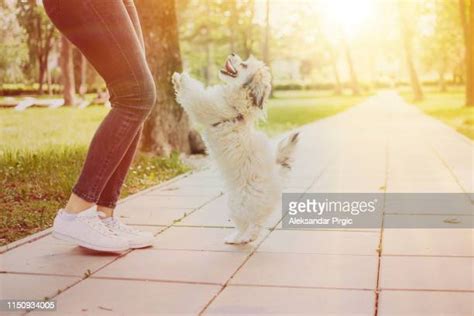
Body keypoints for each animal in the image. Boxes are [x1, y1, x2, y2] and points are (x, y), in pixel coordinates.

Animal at [172, 53, 298, 243]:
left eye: (244, 65)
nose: (232, 53)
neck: (240, 104)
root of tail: (277, 182)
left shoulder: (204, 104)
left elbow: (193, 93)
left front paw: (183, 77)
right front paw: (177, 79)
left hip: (239, 205)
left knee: (253, 226)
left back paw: (243, 238)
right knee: (253, 223)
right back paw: (238, 237)